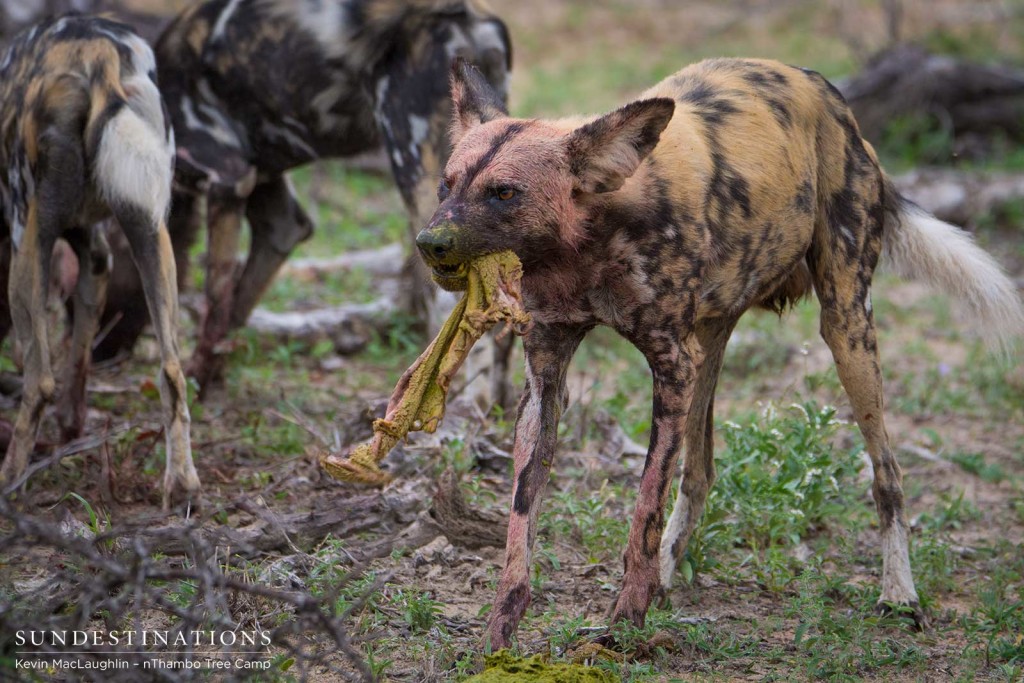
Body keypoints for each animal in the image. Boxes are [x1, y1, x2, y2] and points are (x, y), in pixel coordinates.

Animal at [0, 13, 199, 509]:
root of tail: (102, 55)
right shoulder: (95, 253)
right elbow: (80, 354)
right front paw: (72, 426)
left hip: (29, 238)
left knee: (39, 383)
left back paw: (8, 480)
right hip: (150, 230)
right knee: (172, 370)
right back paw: (182, 485)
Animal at [96, 0, 512, 397]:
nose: (99, 350)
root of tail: (472, 16)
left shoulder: (227, 180)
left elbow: (216, 301)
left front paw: (198, 384)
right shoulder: (277, 212)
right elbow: (235, 310)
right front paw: (213, 379)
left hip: (419, 173)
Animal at [415, 61, 1024, 651]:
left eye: (503, 193)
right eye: (446, 185)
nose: (429, 242)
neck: (584, 246)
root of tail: (835, 102)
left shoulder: (669, 368)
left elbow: (644, 511)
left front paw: (623, 627)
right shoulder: (548, 378)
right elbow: (522, 518)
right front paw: (499, 636)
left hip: (846, 330)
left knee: (887, 473)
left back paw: (899, 596)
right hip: (709, 344)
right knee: (701, 471)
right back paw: (666, 579)